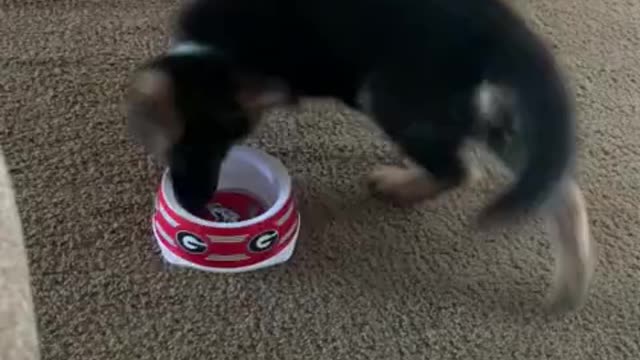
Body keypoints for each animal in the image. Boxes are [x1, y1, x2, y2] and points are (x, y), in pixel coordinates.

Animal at [125, 0, 596, 310]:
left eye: (210, 153)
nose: (197, 205)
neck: (214, 54)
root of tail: (502, 31)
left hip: (395, 95)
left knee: (461, 170)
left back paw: (400, 186)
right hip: (482, 110)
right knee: (557, 187)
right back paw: (570, 285)